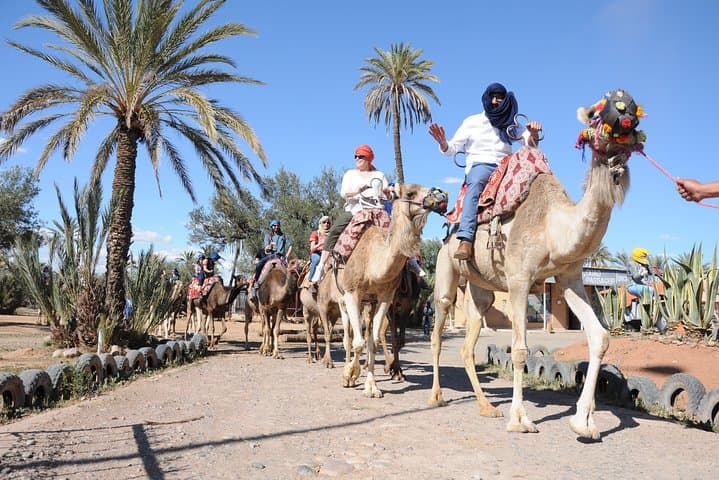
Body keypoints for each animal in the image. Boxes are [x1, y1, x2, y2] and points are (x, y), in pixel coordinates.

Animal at [329, 183, 447, 398]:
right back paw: (348, 372)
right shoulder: (353, 293)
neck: (373, 261)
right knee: (348, 337)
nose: (441, 195)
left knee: (367, 334)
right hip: (343, 298)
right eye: (410, 192)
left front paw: (372, 387)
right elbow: (359, 342)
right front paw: (350, 374)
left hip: (369, 302)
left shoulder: (386, 297)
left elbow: (374, 340)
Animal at [429, 89, 645, 439]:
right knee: (438, 330)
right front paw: (520, 420)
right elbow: (519, 351)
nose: (625, 114)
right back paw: (436, 397)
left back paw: (486, 406)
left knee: (469, 339)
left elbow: (600, 337)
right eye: (598, 113)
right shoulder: (519, 279)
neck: (553, 226)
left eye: (634, 110)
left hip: (480, 289)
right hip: (446, 271)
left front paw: (585, 422)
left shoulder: (569, 278)